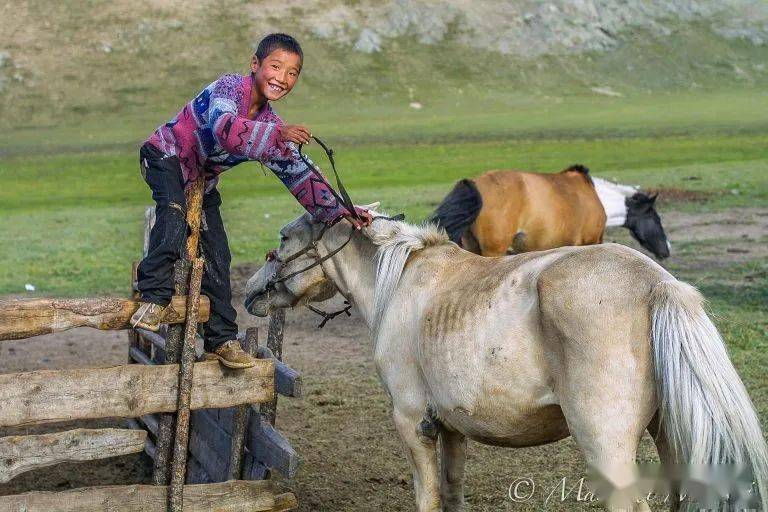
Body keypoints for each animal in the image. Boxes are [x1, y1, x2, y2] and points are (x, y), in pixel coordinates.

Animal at [246, 206, 768, 510]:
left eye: (285, 238)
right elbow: (452, 493)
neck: (400, 282)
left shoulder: (412, 422)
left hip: (608, 450)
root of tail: (656, 282)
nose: (251, 292)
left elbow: (428, 496)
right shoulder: (452, 429)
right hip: (671, 438)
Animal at [436, 165, 668, 258]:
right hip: (493, 250)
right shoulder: (591, 241)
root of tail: (476, 183)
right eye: (655, 217)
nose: (667, 250)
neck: (596, 197)